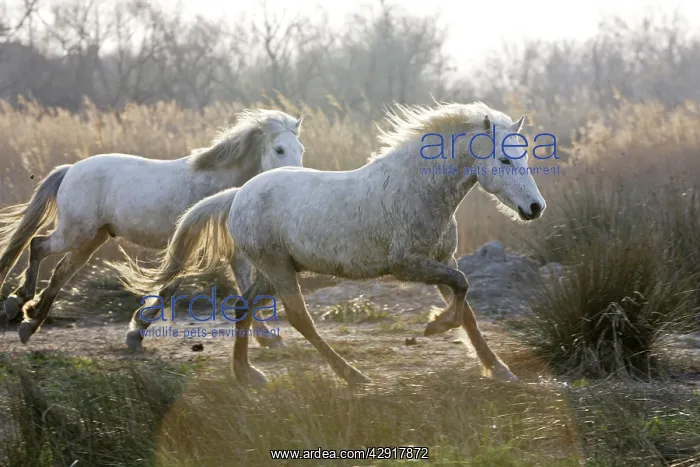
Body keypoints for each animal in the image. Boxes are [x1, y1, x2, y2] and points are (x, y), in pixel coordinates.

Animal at [0, 108, 304, 350]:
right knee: (38, 245)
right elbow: (169, 289)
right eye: (279, 149)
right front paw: (136, 333)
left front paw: (268, 339)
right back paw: (18, 302)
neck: (217, 185)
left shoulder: (232, 251)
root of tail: (71, 169)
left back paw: (30, 322)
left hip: (92, 238)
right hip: (75, 232)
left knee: (62, 271)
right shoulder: (189, 248)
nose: (292, 179)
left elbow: (243, 286)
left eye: (300, 149)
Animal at [117, 101, 546, 387]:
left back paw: (247, 374)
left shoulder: (443, 259)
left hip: (272, 269)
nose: (534, 208)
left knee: (243, 307)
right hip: (278, 268)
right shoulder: (410, 264)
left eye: (524, 156)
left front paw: (499, 369)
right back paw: (352, 375)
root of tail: (239, 193)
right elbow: (463, 288)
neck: (415, 190)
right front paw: (436, 326)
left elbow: (467, 306)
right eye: (505, 161)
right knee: (299, 319)